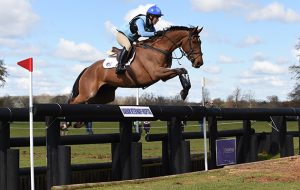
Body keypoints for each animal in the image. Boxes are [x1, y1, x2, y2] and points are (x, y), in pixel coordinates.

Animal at [68, 25, 204, 105]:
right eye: (194, 41)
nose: (199, 62)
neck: (159, 49)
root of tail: (87, 69)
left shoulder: (163, 75)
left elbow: (182, 70)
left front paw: (184, 91)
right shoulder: (156, 73)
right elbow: (181, 70)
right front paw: (184, 92)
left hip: (105, 95)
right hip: (88, 92)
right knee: (74, 101)